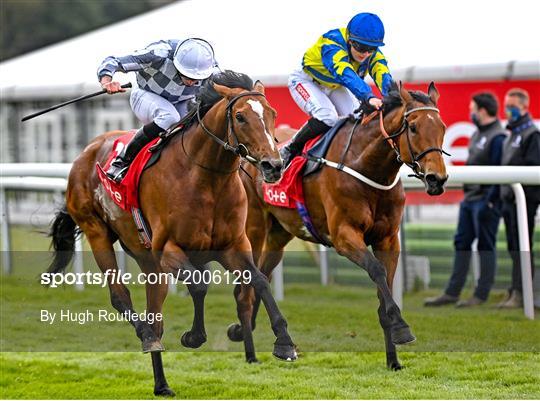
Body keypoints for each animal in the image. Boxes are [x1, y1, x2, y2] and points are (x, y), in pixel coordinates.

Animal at [47, 71, 296, 394]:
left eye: (272, 113)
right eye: (240, 117)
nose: (273, 166)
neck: (205, 177)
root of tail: (86, 152)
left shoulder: (233, 246)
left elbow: (260, 281)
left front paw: (285, 343)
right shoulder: (168, 249)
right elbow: (200, 285)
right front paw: (194, 336)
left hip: (146, 259)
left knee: (156, 316)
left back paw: (161, 383)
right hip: (97, 231)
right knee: (121, 298)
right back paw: (147, 337)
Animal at [230, 80, 450, 368]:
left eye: (442, 127)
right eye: (412, 127)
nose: (437, 179)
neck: (366, 166)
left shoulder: (389, 239)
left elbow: (384, 290)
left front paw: (394, 360)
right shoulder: (344, 236)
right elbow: (376, 270)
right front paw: (403, 329)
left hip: (279, 233)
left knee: (263, 276)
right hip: (254, 229)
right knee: (246, 288)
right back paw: (251, 353)